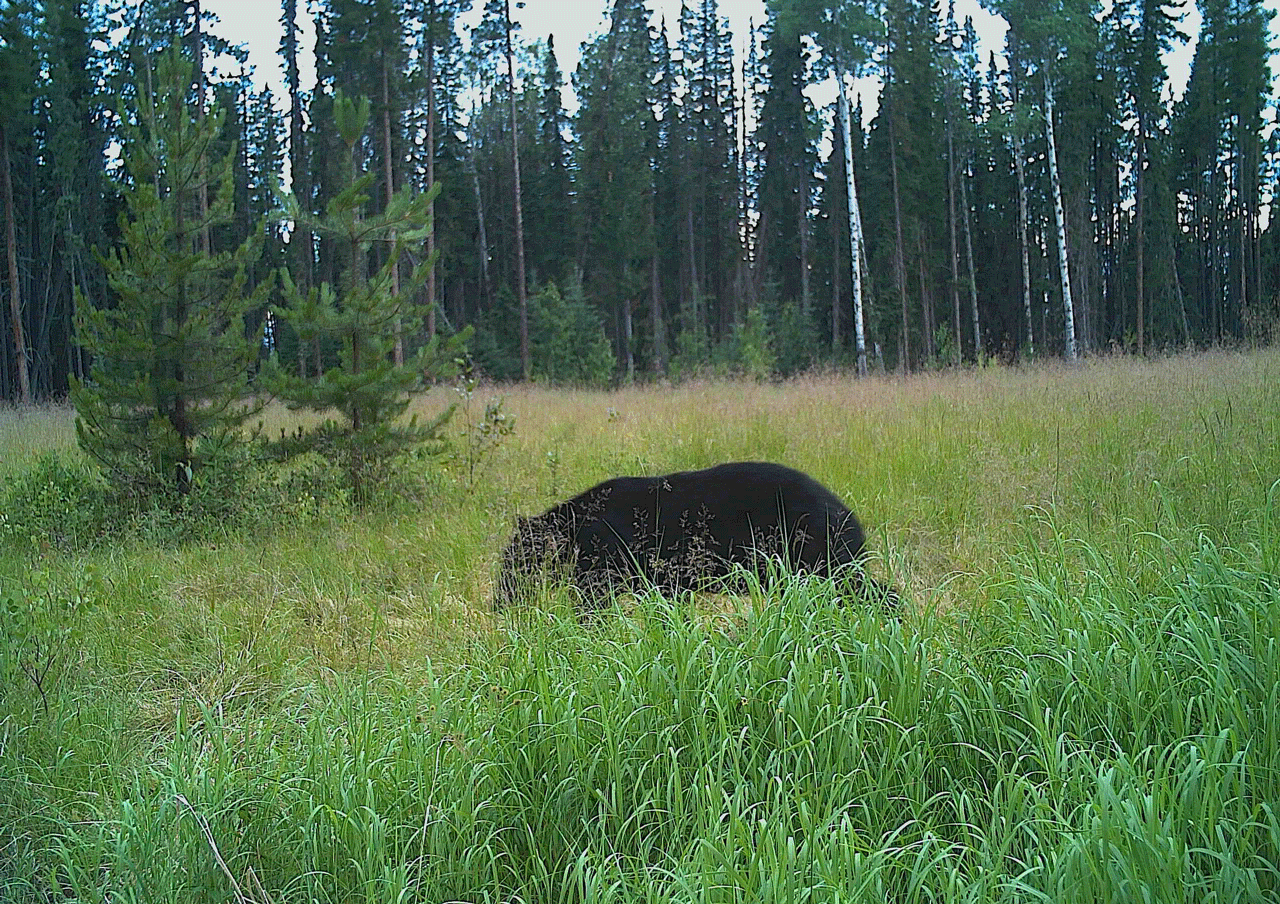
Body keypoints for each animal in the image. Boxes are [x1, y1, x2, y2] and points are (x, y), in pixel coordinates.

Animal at [494, 460, 896, 609]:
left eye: (511, 564)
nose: (499, 601)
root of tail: (849, 515)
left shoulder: (608, 556)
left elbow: (593, 600)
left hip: (813, 552)